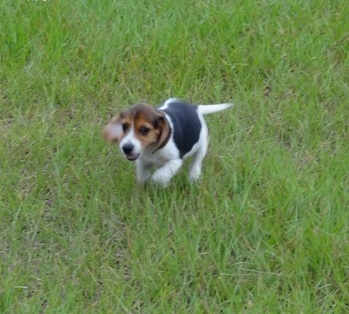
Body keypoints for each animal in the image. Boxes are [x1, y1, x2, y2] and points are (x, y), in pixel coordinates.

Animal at [104, 98, 232, 186]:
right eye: (124, 126)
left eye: (144, 130)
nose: (126, 148)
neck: (151, 149)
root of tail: (195, 108)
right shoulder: (143, 161)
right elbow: (142, 176)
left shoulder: (175, 161)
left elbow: (160, 175)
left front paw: (157, 182)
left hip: (202, 144)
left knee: (197, 161)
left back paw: (193, 176)